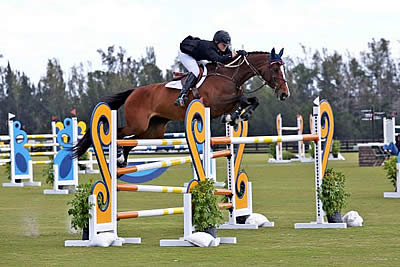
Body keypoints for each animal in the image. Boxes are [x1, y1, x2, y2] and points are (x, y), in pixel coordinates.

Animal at [73, 48, 290, 165]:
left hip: (154, 130)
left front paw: (236, 117)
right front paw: (240, 115)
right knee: (119, 133)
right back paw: (116, 157)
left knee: (132, 141)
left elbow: (250, 101)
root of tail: (134, 91)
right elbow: (243, 99)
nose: (285, 94)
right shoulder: (215, 103)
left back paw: (122, 161)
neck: (229, 75)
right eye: (275, 69)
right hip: (137, 124)